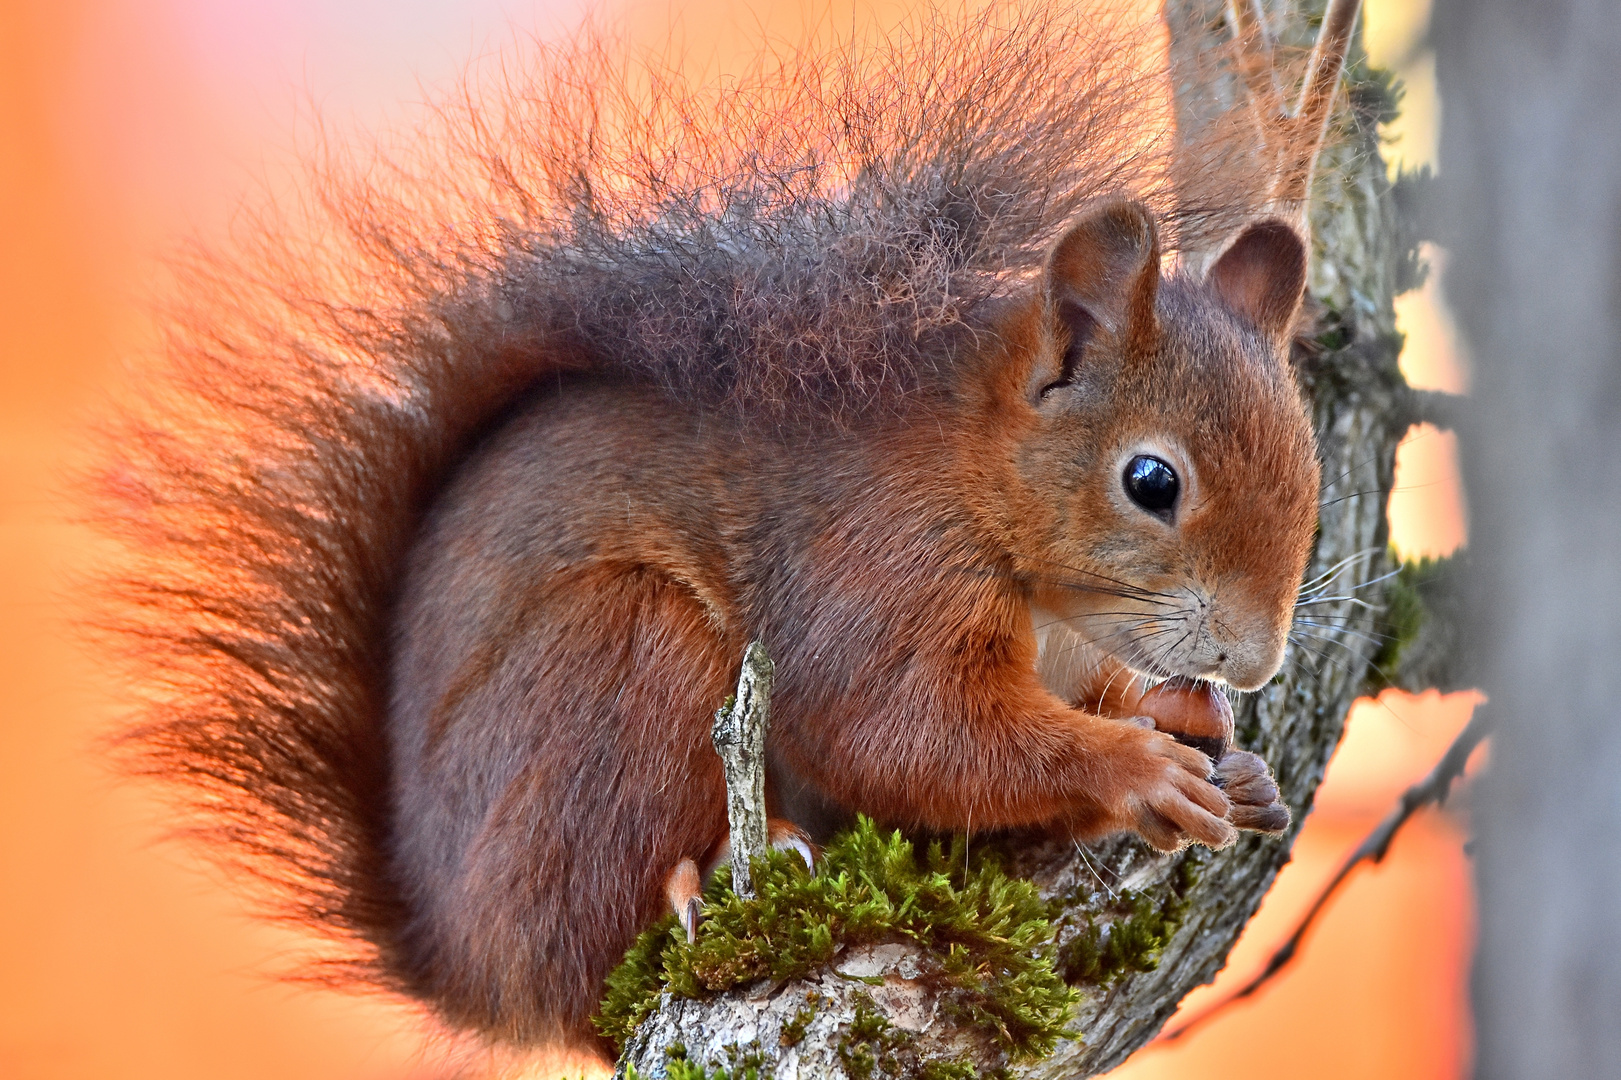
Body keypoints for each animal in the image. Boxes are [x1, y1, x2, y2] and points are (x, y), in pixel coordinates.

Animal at [94, 0, 1361, 1063]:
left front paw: (1203, 736)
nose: (1255, 662)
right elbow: (901, 735)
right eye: (1151, 480)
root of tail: (458, 964)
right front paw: (1135, 767)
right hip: (624, 655)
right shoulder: (874, 569)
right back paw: (704, 880)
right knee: (590, 945)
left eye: (1306, 466)